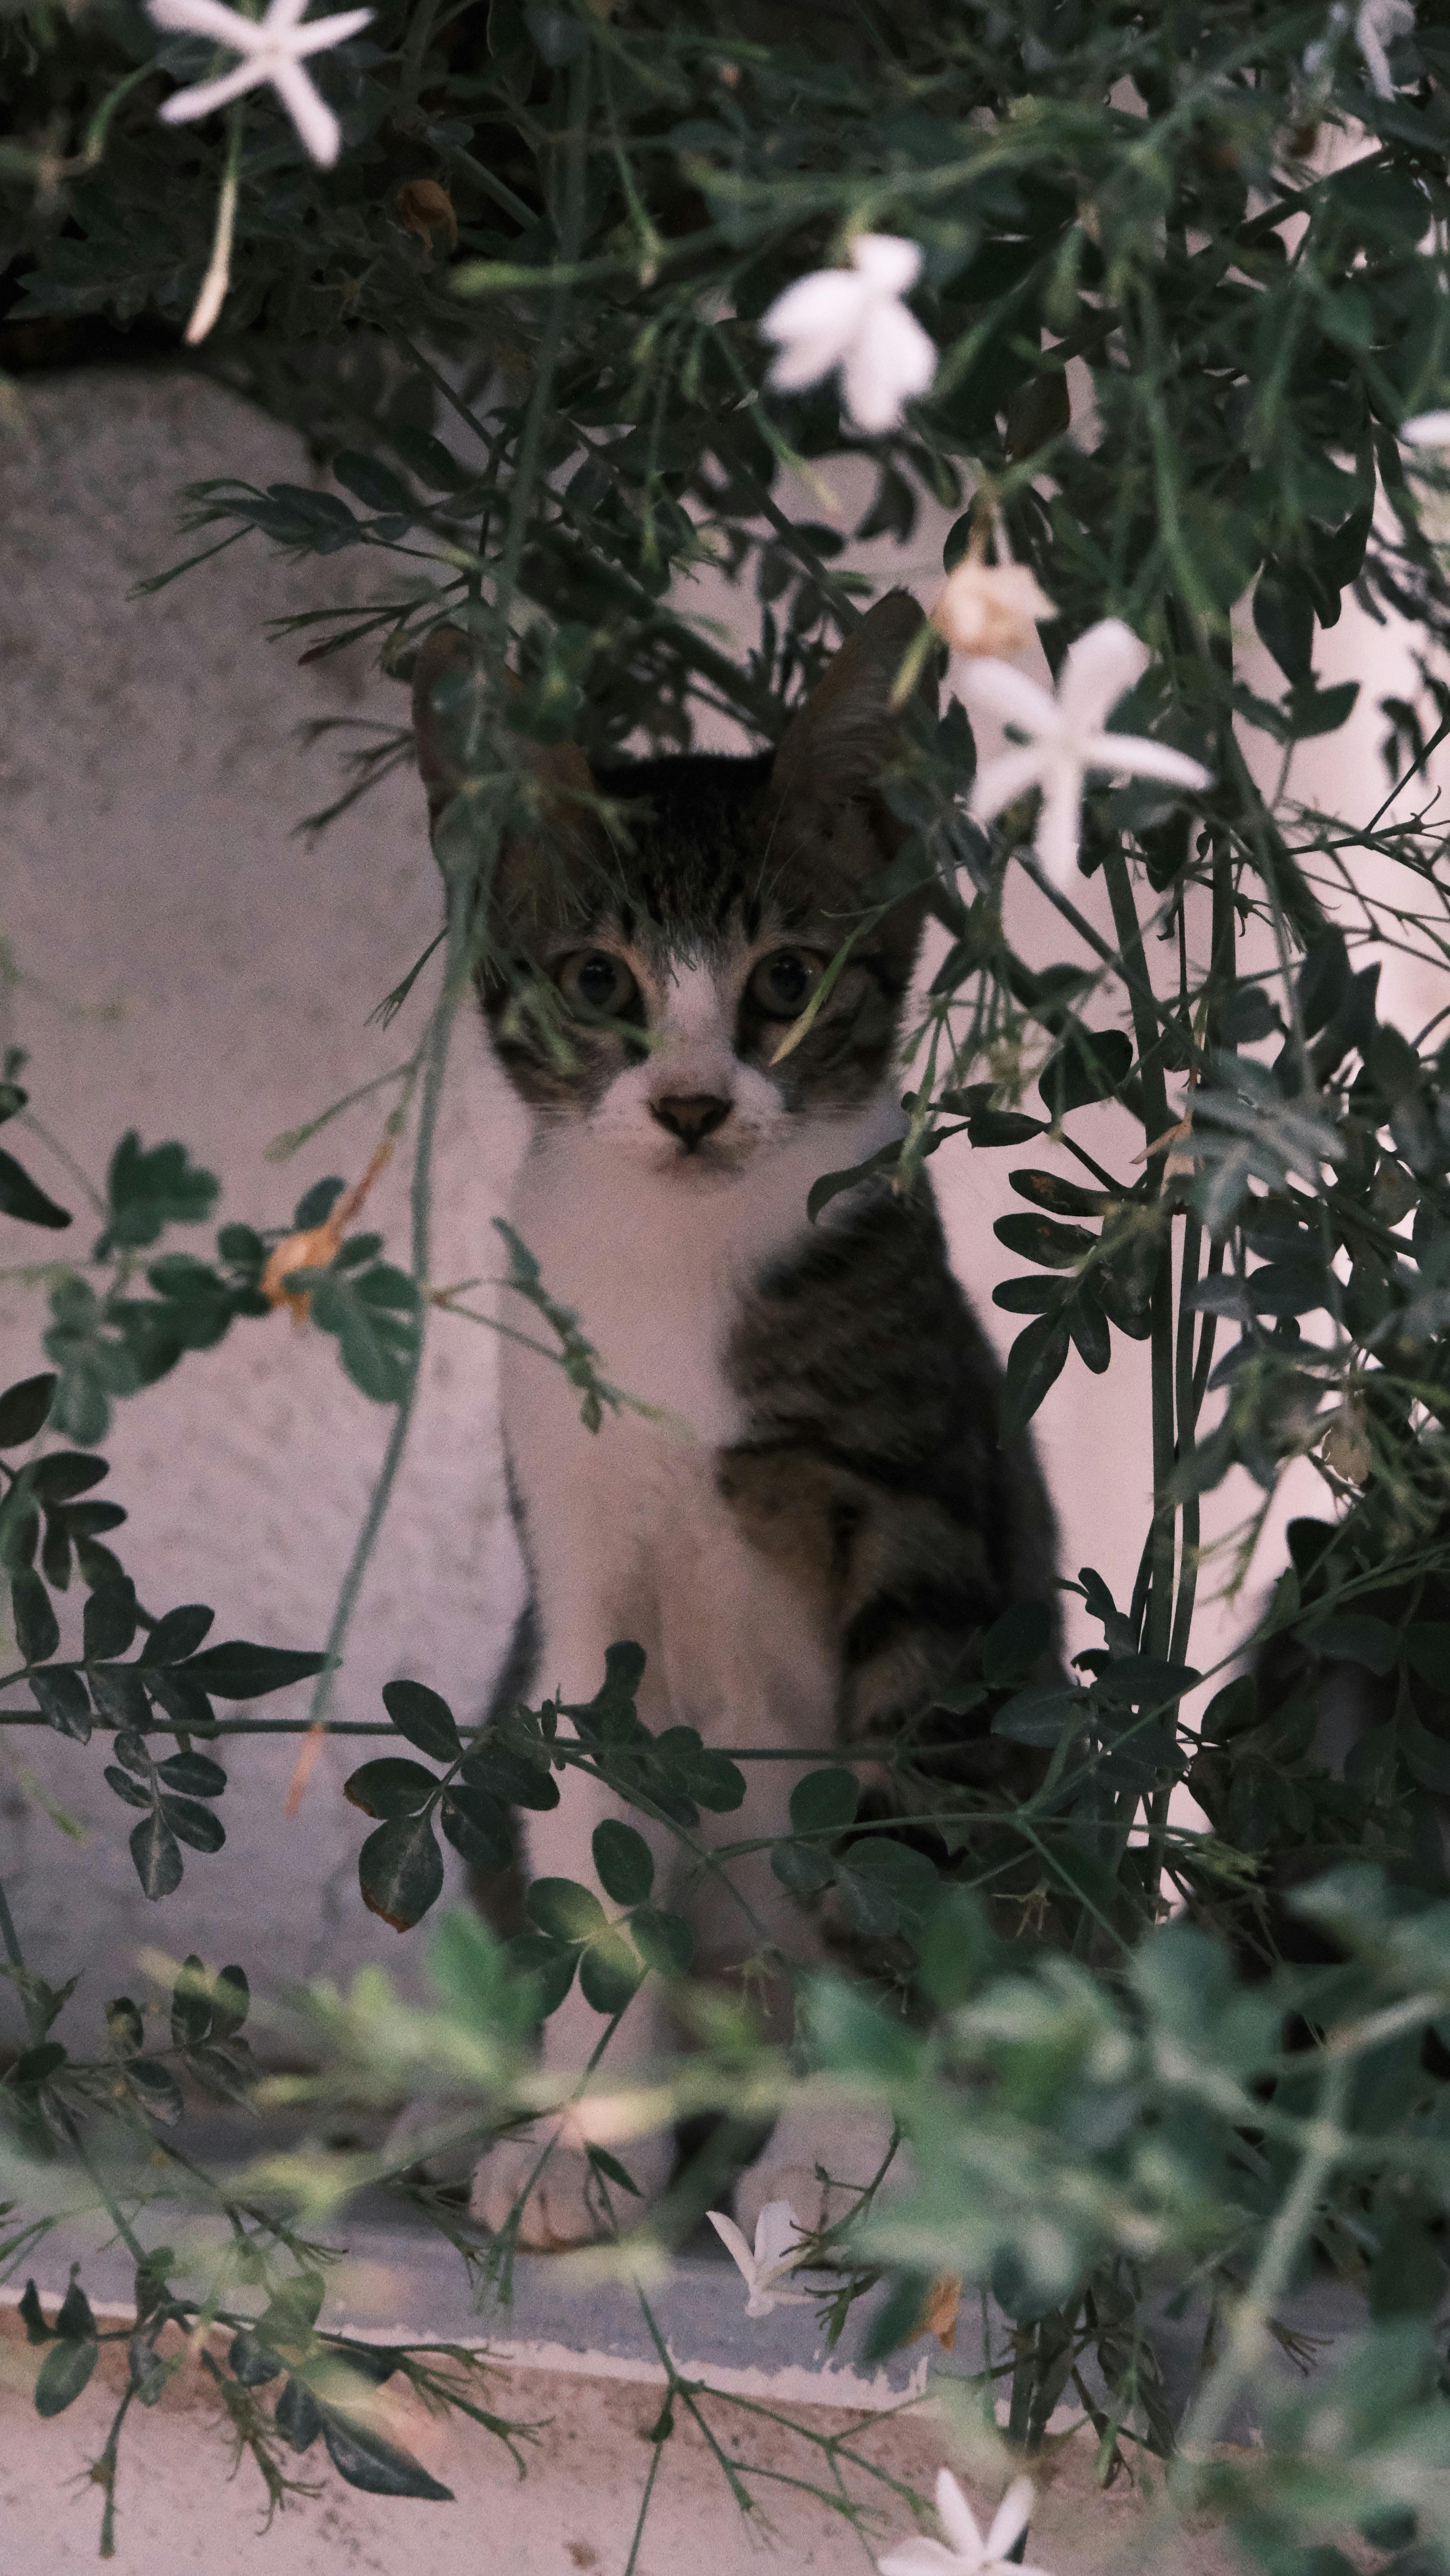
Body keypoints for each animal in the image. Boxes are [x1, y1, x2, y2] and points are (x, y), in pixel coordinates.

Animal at [415, 592, 1061, 2246]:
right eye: (598, 982)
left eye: (784, 979)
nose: (695, 1102)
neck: (677, 1266)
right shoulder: (578, 1570)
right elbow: (589, 1846)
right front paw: (578, 2142)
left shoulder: (925, 1542)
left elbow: (895, 1848)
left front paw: (840, 2157)